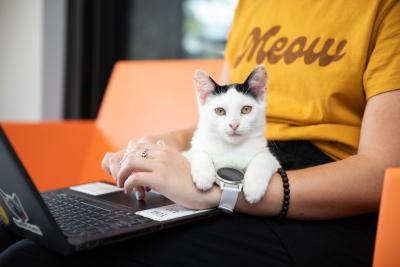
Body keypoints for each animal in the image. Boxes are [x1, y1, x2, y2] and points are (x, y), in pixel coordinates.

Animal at [186, 63, 280, 204]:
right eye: (220, 111)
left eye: (246, 109)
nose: (234, 124)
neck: (231, 148)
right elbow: (197, 152)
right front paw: (204, 175)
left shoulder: (273, 160)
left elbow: (263, 158)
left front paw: (254, 187)